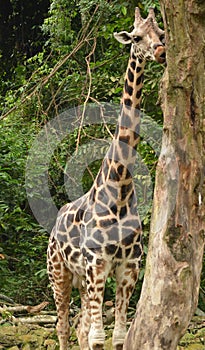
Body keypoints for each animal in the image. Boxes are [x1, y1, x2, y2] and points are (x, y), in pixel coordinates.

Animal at [47, 6, 166, 350]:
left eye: (161, 33)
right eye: (136, 37)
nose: (160, 52)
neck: (121, 187)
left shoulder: (128, 267)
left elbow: (117, 336)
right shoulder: (97, 263)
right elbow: (98, 336)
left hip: (82, 280)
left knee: (80, 326)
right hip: (59, 273)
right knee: (63, 325)